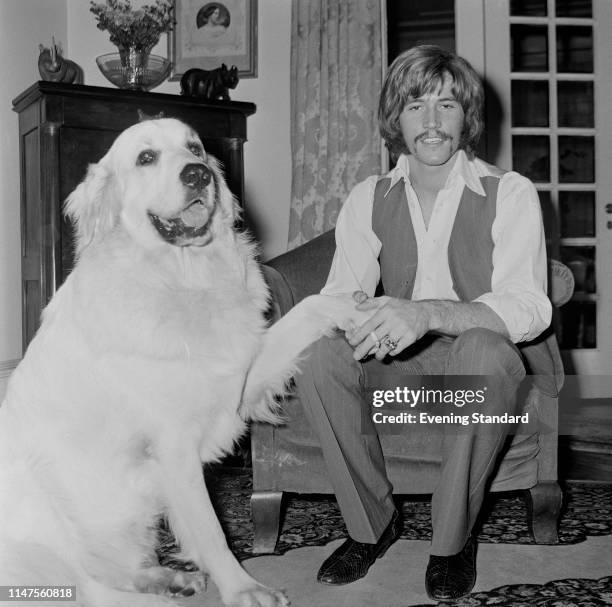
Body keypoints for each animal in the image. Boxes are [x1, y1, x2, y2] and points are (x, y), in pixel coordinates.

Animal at [0, 119, 368, 607]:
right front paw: (244, 588)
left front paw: (361, 309)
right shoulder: (173, 445)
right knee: (90, 589)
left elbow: (309, 307)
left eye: (194, 148)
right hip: (36, 497)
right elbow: (212, 530)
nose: (198, 174)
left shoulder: (238, 382)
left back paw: (167, 578)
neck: (183, 278)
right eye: (146, 157)